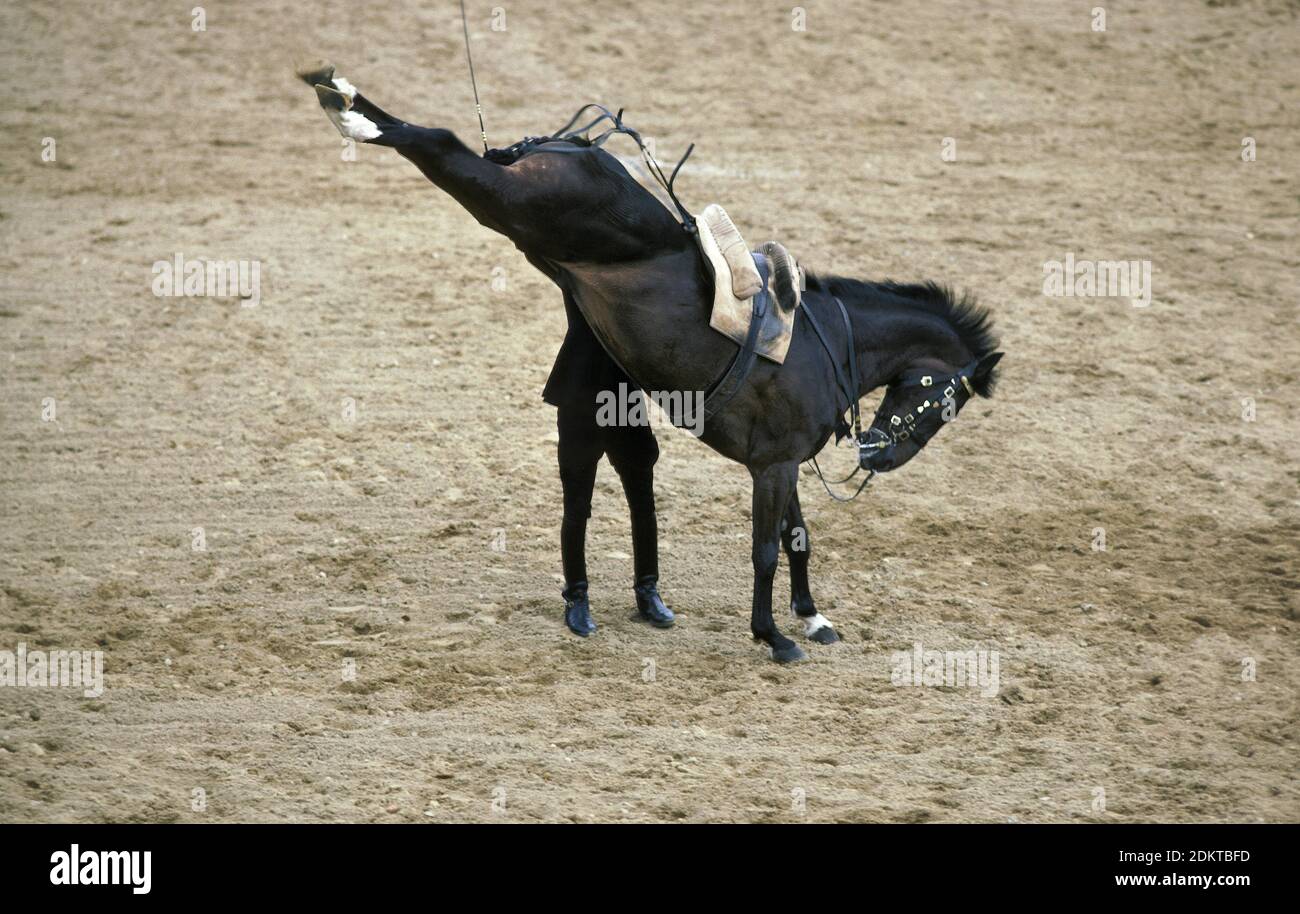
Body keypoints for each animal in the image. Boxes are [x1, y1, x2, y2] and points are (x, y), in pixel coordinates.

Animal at [301, 66, 1003, 665]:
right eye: (947, 399)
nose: (878, 456)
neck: (822, 340)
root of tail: (574, 147)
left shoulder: (782, 463)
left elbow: (798, 538)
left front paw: (811, 617)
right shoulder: (773, 468)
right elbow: (766, 550)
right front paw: (773, 636)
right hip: (509, 202)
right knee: (441, 144)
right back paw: (349, 109)